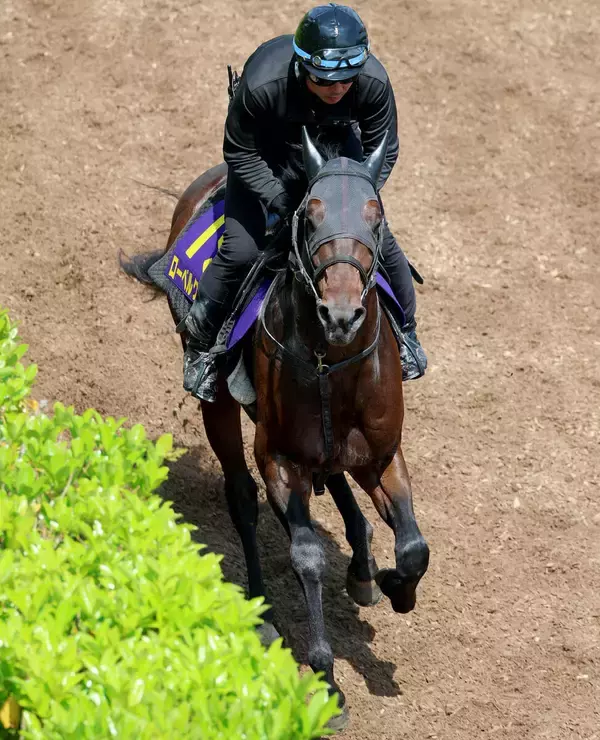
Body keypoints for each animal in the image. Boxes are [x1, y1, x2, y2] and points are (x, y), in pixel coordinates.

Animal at [120, 128, 429, 730]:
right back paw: (262, 610)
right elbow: (305, 555)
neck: (335, 365)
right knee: (242, 496)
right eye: (309, 215)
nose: (341, 314)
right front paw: (328, 681)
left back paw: (362, 564)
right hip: (220, 404)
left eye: (375, 214)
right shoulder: (280, 460)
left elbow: (413, 548)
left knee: (333, 483)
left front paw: (392, 586)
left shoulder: (382, 455)